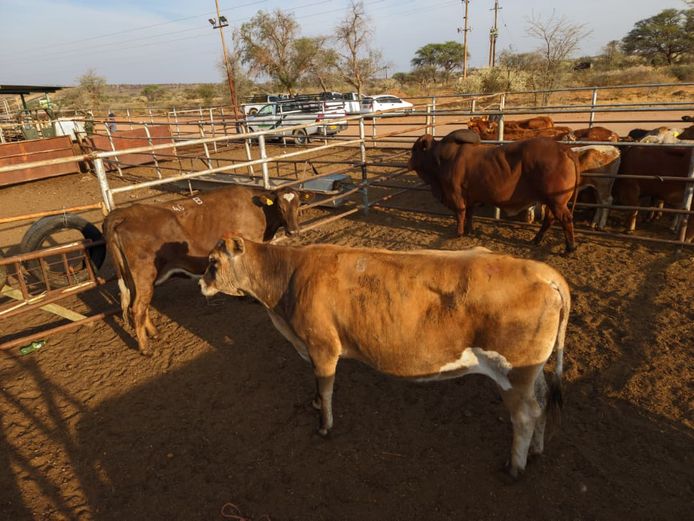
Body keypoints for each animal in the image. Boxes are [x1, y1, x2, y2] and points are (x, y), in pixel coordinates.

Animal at [104, 185, 304, 355]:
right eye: (280, 206)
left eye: (298, 205)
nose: (293, 231)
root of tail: (123, 213)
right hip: (143, 275)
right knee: (137, 308)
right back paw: (145, 348)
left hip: (134, 279)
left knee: (140, 306)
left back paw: (154, 333)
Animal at [200, 238, 570, 478]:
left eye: (213, 262)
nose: (201, 283)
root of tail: (543, 272)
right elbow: (317, 388)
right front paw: (314, 403)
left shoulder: (322, 347)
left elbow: (326, 388)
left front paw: (324, 424)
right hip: (531, 370)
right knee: (542, 401)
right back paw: (536, 450)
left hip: (513, 374)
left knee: (525, 415)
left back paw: (515, 467)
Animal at [409, 131, 581, 253]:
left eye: (414, 150)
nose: (409, 162)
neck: (441, 160)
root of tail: (563, 148)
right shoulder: (470, 197)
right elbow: (469, 214)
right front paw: (469, 231)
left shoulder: (455, 195)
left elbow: (460, 214)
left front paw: (459, 233)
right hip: (553, 202)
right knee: (550, 220)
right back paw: (536, 240)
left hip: (556, 201)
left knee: (565, 219)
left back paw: (570, 248)